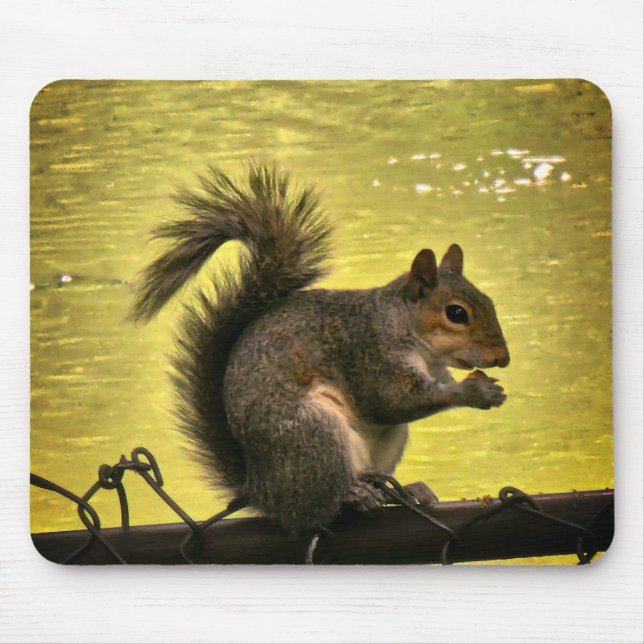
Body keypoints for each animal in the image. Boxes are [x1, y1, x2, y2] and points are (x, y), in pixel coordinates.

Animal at [133, 163, 510, 534]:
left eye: (490, 301)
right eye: (456, 313)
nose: (502, 359)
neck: (408, 331)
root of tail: (262, 491)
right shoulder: (370, 354)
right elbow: (394, 401)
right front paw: (476, 391)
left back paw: (399, 489)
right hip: (313, 434)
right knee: (315, 510)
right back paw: (353, 494)